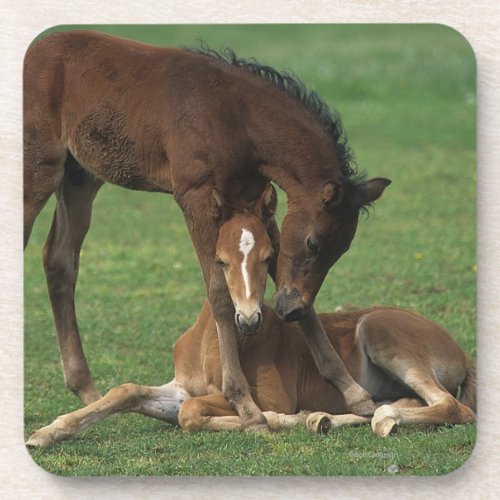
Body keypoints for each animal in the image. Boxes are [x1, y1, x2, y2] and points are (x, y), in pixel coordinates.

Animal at [23, 29, 390, 424]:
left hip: (80, 178)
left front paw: (356, 395)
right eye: (314, 243)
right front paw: (244, 403)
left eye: (342, 250)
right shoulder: (196, 199)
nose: (290, 309)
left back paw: (88, 393)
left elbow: (275, 272)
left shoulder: (256, 206)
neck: (237, 119)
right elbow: (219, 292)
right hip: (39, 169)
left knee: (60, 260)